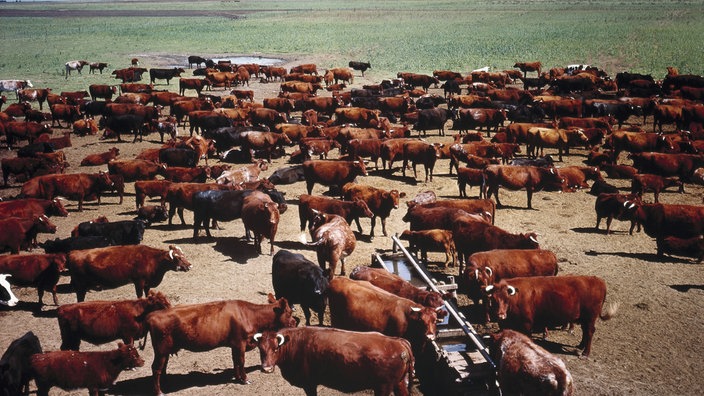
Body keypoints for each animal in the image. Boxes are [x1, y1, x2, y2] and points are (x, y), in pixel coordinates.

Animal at [146, 294, 294, 390]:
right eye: (288, 312)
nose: (295, 322)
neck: (249, 315)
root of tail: (152, 315)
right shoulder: (240, 343)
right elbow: (241, 362)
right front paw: (245, 379)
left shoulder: (234, 345)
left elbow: (235, 361)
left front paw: (237, 378)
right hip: (161, 351)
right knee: (156, 369)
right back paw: (159, 392)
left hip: (164, 351)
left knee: (163, 368)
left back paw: (166, 384)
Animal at [253, 326, 416, 396]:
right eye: (260, 349)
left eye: (275, 348)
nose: (266, 368)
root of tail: (397, 341)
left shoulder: (309, 383)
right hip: (399, 383)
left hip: (383, 387)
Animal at [484, 276, 616, 358]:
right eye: (493, 299)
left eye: (507, 300)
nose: (500, 315)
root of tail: (598, 280)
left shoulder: (527, 324)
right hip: (583, 318)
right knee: (585, 331)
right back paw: (580, 346)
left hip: (590, 318)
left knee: (589, 332)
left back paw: (585, 353)